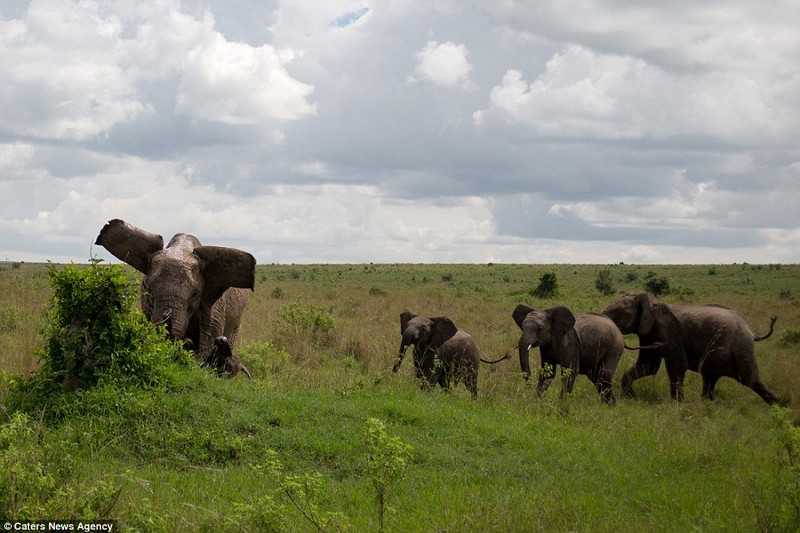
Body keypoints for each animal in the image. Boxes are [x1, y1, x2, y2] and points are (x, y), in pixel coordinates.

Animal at [604, 290, 780, 404]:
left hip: (740, 346)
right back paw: (707, 404)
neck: (652, 304)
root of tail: (750, 329)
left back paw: (778, 405)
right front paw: (629, 396)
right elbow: (648, 366)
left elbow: (676, 366)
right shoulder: (648, 333)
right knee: (710, 377)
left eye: (619, 314)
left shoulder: (670, 333)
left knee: (749, 378)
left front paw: (676, 405)